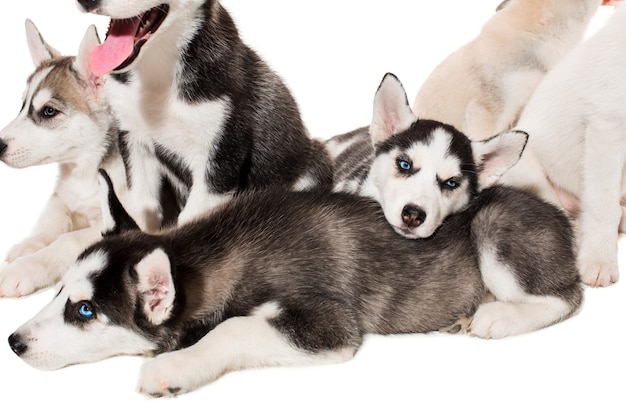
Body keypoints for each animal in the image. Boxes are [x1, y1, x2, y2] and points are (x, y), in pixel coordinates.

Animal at [0, 22, 127, 298]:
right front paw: (29, 245)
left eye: (49, 111)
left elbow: (68, 240)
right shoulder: (62, 197)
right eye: (22, 105)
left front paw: (24, 268)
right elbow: (51, 220)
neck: (84, 171)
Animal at [73, 0, 332, 231]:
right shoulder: (134, 141)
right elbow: (143, 206)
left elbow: (192, 219)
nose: (87, 0)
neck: (160, 70)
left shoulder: (220, 160)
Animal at [324, 73, 584, 340]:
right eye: (405, 164)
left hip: (494, 224)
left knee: (567, 299)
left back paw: (498, 317)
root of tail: (561, 217)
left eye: (451, 183)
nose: (413, 215)